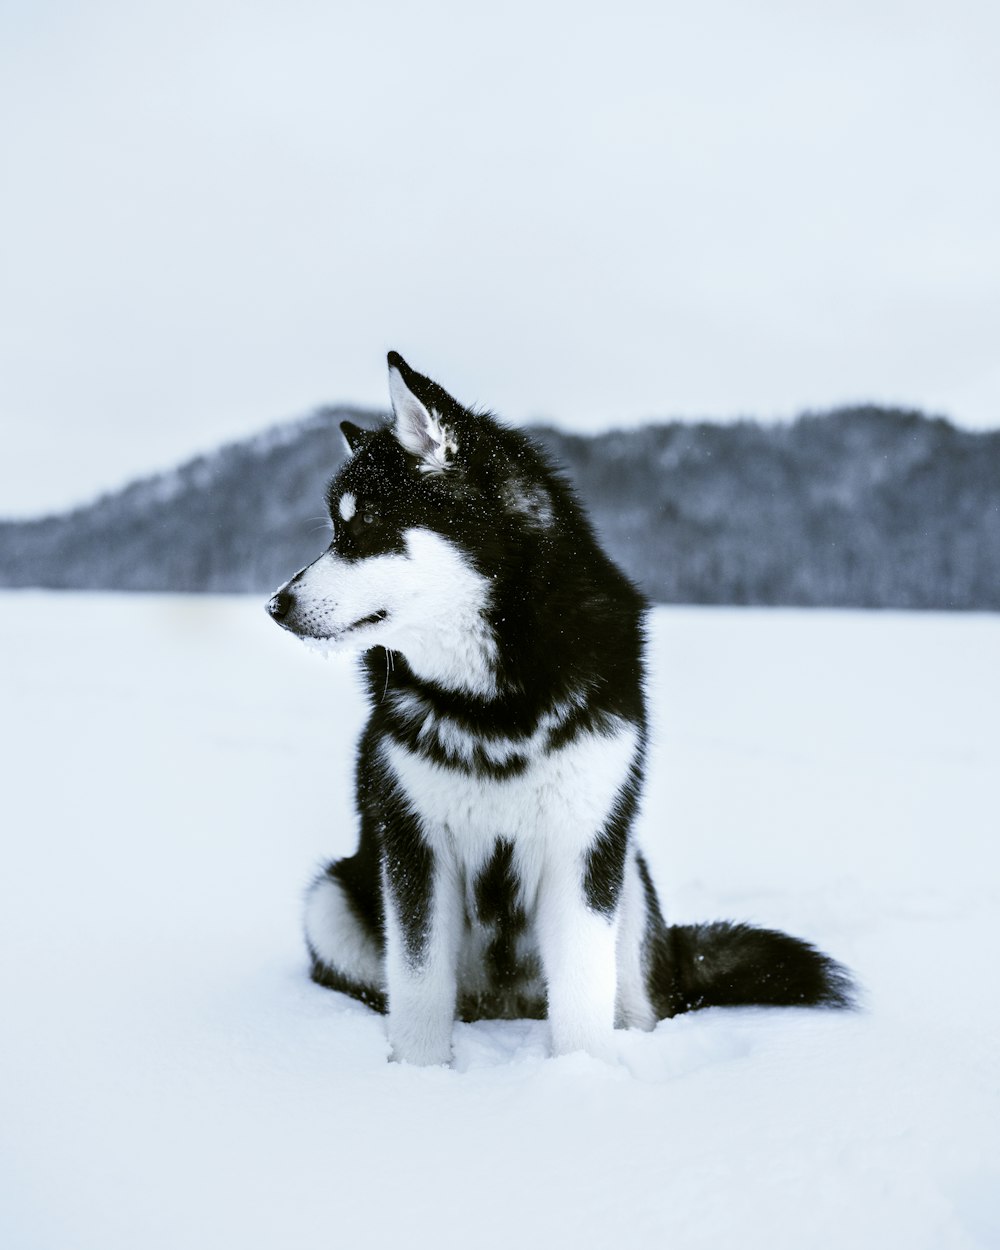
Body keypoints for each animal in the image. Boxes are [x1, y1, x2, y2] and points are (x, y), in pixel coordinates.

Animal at [267, 352, 850, 1065]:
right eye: (333, 530)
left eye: (363, 528)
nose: (275, 605)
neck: (496, 700)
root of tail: (503, 1006)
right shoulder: (414, 844)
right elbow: (420, 989)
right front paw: (421, 1075)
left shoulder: (584, 839)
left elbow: (580, 994)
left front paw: (577, 1080)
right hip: (331, 899)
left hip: (629, 879)